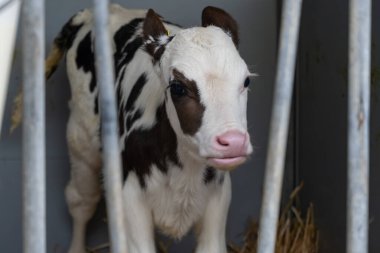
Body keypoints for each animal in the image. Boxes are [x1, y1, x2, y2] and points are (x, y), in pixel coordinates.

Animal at [43, 3, 252, 253]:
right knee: (81, 202)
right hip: (81, 139)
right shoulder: (130, 199)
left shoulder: (218, 201)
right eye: (178, 87)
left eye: (246, 81)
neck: (185, 172)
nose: (234, 141)